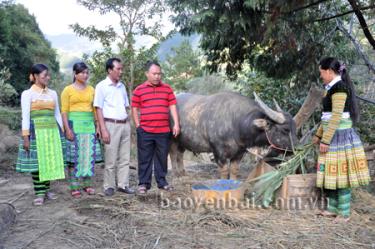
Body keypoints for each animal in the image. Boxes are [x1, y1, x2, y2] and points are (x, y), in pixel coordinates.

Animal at [169, 91, 298, 179]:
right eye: (285, 129)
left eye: (295, 128)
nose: (297, 148)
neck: (236, 123)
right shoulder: (219, 152)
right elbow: (224, 171)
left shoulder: (240, 152)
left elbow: (234, 170)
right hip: (173, 139)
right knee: (173, 154)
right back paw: (176, 173)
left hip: (183, 141)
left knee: (180, 155)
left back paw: (183, 172)